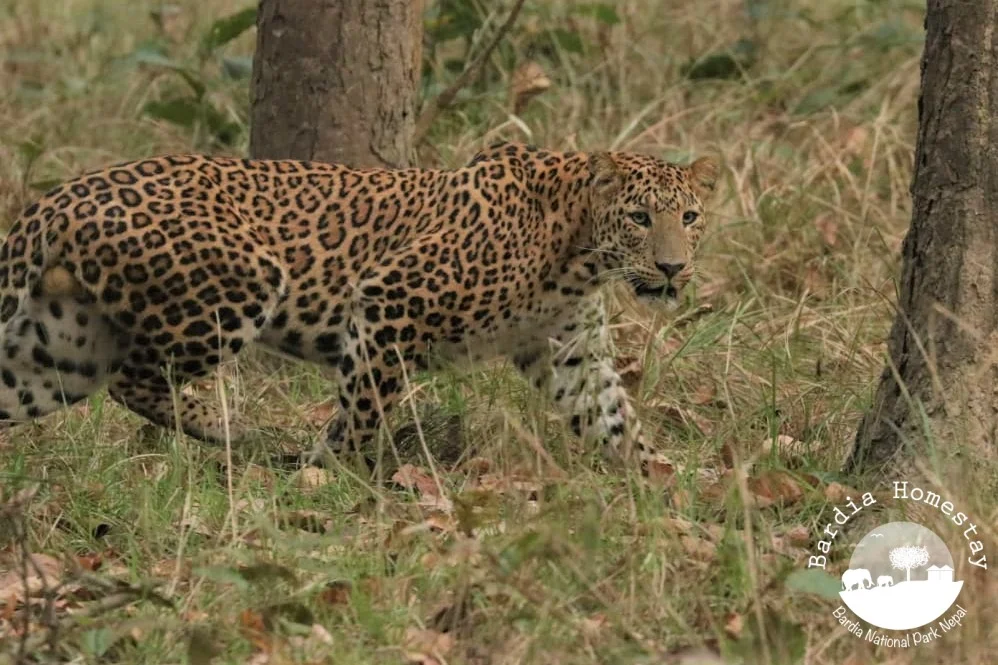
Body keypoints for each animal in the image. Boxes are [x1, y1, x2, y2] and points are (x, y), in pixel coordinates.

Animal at [0, 141, 718, 473]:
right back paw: (235, 431)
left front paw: (662, 481)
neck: (577, 255)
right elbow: (365, 405)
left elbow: (615, 419)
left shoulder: (570, 354)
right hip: (239, 283)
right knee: (138, 380)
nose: (673, 267)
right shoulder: (389, 299)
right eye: (638, 218)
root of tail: (55, 199)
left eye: (688, 217)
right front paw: (330, 472)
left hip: (56, 350)